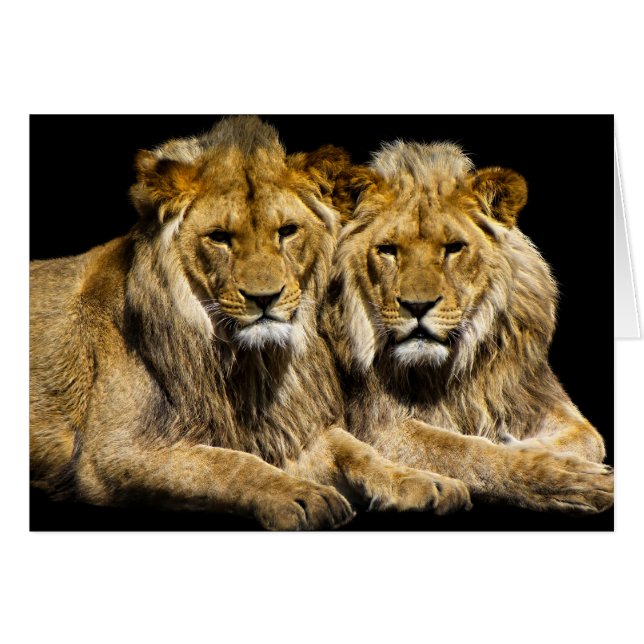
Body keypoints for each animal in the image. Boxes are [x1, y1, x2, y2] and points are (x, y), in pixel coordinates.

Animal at [30, 118, 472, 530]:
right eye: (219, 237)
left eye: (287, 232)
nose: (265, 299)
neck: (248, 362)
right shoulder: (111, 453)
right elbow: (227, 463)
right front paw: (302, 495)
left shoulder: (289, 427)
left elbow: (355, 449)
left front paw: (421, 480)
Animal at [324, 140, 613, 513]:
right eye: (387, 250)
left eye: (454, 248)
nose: (417, 306)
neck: (448, 370)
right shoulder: (378, 427)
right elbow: (465, 451)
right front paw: (567, 477)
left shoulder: (532, 394)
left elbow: (589, 437)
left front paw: (533, 448)